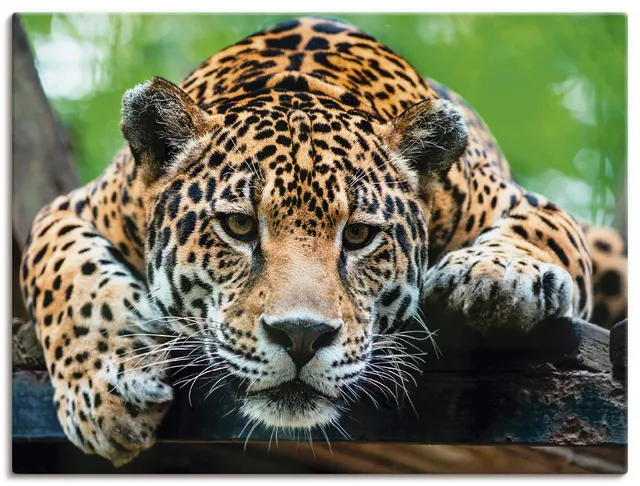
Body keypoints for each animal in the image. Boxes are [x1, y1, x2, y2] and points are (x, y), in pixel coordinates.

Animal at [19, 16, 627, 466]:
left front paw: (496, 275)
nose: (301, 336)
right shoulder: (72, 208)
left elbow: (541, 231)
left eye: (358, 235)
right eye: (239, 227)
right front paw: (104, 394)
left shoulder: (523, 203)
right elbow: (66, 277)